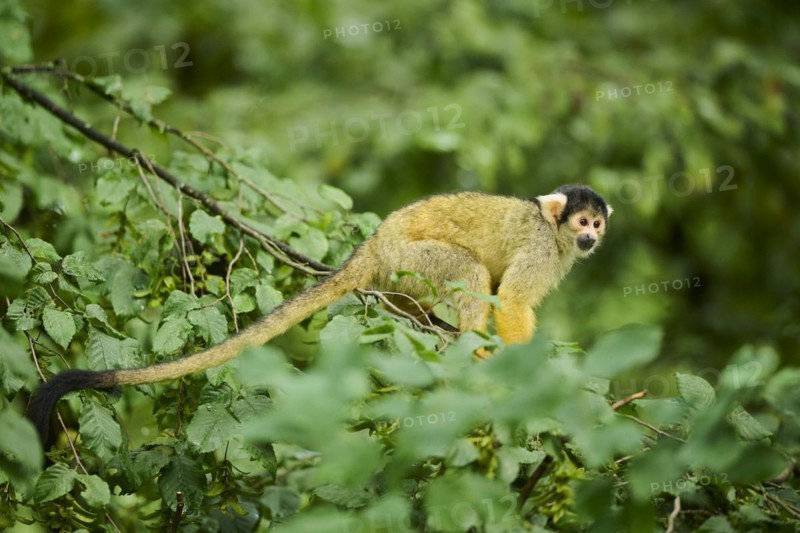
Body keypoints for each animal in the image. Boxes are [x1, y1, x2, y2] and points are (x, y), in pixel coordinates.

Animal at [27, 184, 612, 444]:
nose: (590, 237)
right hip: (412, 257)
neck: (556, 235)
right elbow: (510, 300)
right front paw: (526, 373)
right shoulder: (542, 247)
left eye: (596, 225)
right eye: (581, 221)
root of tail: (372, 245)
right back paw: (472, 346)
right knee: (468, 272)